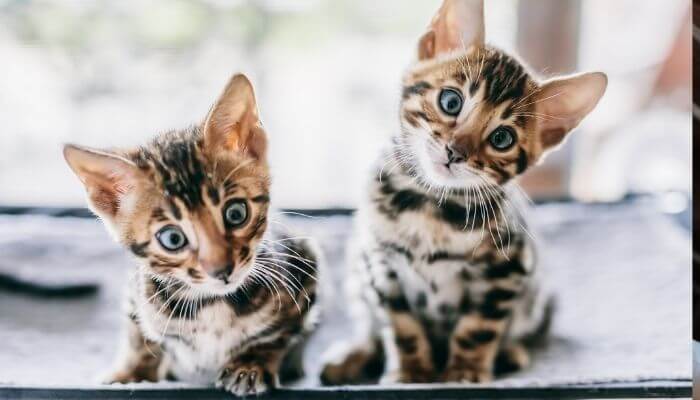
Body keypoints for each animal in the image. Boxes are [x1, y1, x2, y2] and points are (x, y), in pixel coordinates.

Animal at [63, 73, 320, 396]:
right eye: (172, 239)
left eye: (236, 214)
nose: (222, 271)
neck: (211, 303)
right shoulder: (137, 293)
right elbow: (138, 336)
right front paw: (131, 373)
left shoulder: (305, 267)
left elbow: (278, 335)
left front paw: (251, 365)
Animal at [320, 0, 604, 384]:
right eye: (450, 102)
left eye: (502, 138)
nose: (455, 152)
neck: (430, 206)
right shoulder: (380, 263)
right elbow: (400, 326)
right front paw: (411, 372)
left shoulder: (508, 270)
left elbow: (478, 328)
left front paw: (464, 373)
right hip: (356, 269)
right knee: (368, 325)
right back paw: (352, 354)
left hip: (539, 296)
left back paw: (510, 353)